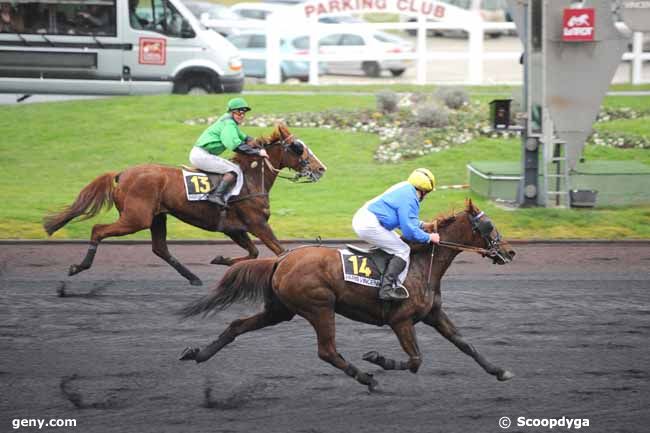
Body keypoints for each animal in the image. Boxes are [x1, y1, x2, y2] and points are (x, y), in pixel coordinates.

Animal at [42, 123, 324, 286]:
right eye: (298, 148)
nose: (321, 168)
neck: (251, 178)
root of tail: (121, 174)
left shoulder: (234, 228)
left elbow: (253, 253)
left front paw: (222, 259)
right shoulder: (257, 224)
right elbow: (280, 251)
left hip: (157, 217)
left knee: (160, 248)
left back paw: (193, 277)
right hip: (136, 218)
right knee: (98, 230)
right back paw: (79, 267)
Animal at [180, 201, 512, 390]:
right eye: (489, 226)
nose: (509, 251)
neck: (421, 264)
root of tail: (282, 259)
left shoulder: (433, 314)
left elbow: (465, 343)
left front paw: (499, 370)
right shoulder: (401, 320)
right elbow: (416, 360)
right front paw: (378, 359)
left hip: (280, 310)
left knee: (237, 325)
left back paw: (198, 354)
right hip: (320, 308)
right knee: (327, 351)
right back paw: (367, 377)